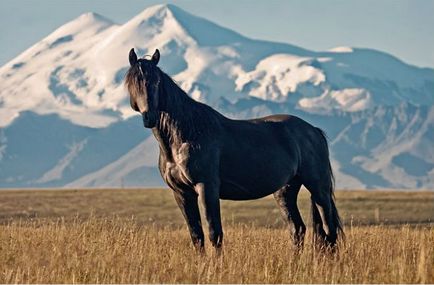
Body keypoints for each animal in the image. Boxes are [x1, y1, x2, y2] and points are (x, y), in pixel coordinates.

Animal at [124, 48, 342, 248]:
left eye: (156, 82)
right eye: (132, 83)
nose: (149, 117)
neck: (185, 136)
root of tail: (313, 130)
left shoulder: (207, 188)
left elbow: (214, 234)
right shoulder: (182, 193)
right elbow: (197, 237)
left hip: (319, 188)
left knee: (329, 231)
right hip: (285, 191)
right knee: (297, 229)